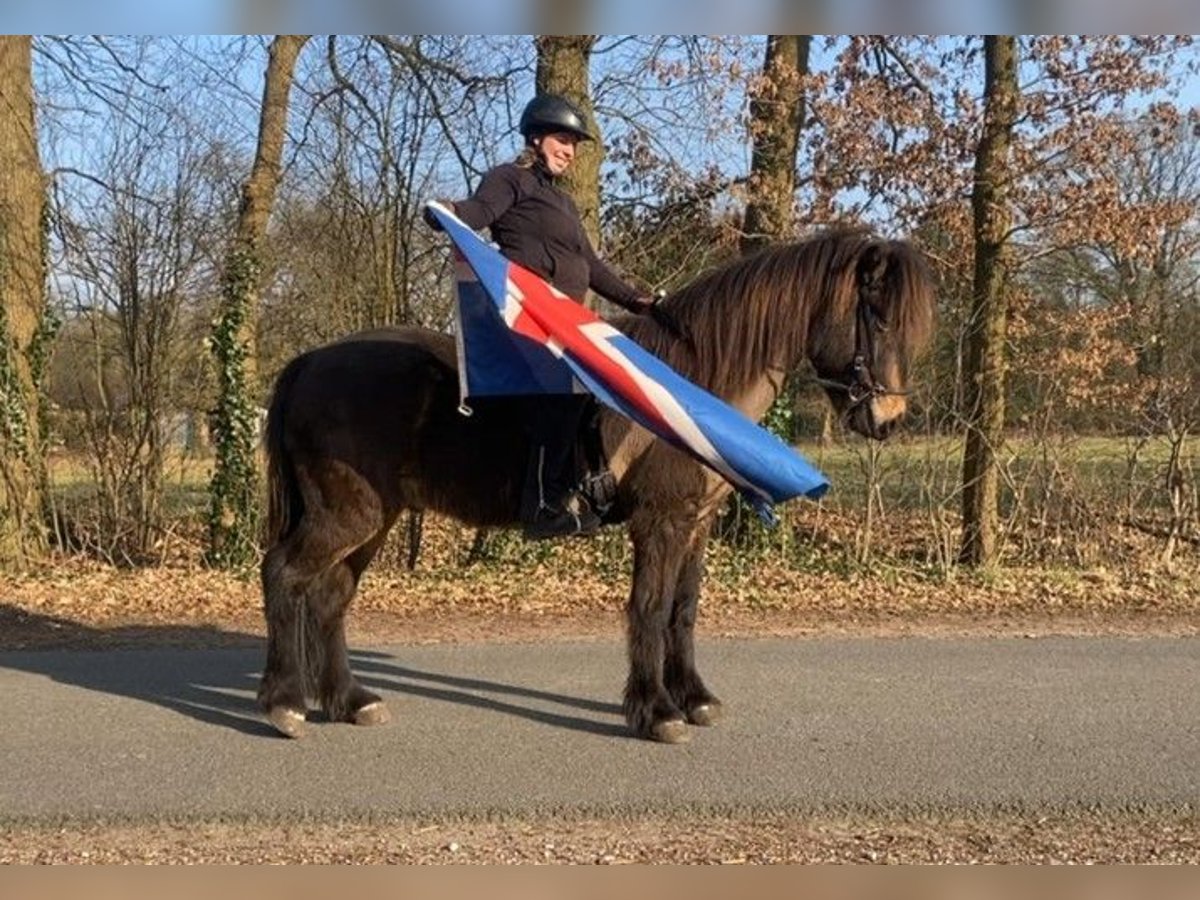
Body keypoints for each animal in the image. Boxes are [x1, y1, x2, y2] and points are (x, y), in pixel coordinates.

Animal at [258, 229, 936, 744]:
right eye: (877, 318)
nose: (888, 419)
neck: (689, 391)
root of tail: (309, 362)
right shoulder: (660, 523)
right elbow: (650, 608)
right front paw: (656, 710)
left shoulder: (695, 525)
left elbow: (684, 610)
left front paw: (694, 698)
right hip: (345, 516)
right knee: (284, 574)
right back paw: (284, 701)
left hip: (375, 520)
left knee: (330, 596)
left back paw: (350, 699)